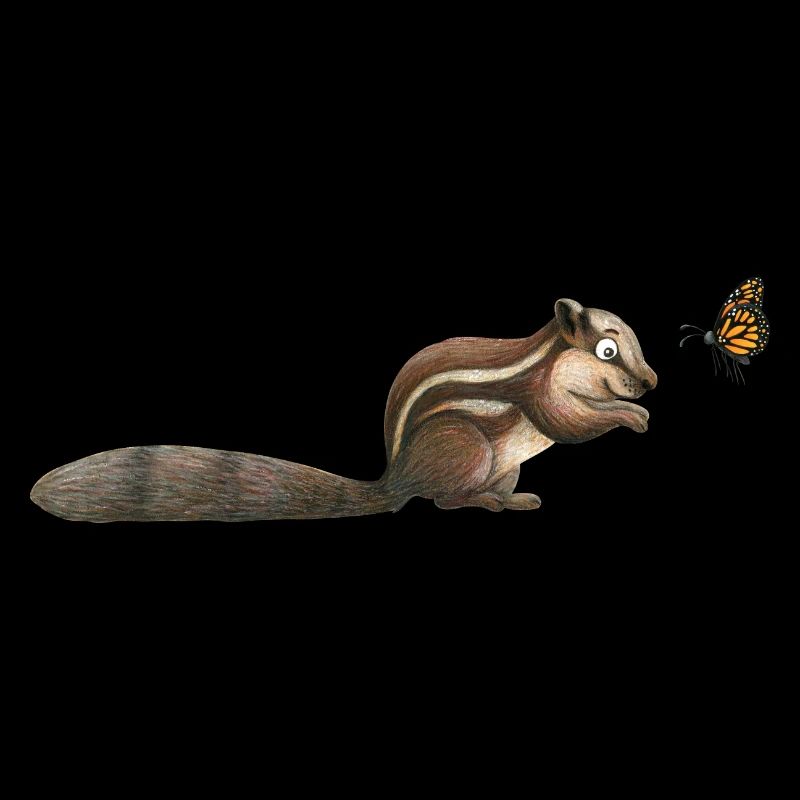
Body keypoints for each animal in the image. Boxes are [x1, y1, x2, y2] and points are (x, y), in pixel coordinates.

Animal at [31, 298, 656, 522]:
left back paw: (514, 500)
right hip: (468, 447)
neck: (552, 360)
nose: (650, 381)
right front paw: (628, 417)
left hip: (504, 464)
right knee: (444, 501)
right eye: (606, 349)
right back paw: (484, 503)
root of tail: (397, 478)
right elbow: (566, 422)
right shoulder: (535, 393)